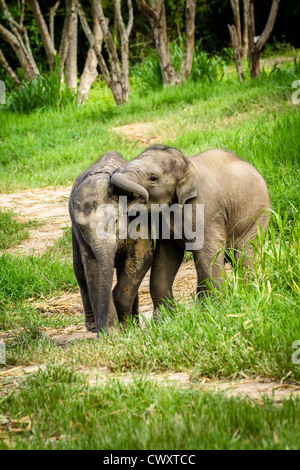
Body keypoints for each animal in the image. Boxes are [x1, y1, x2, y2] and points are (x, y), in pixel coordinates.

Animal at [69, 151, 154, 334]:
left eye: (115, 220)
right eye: (82, 228)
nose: (103, 334)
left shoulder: (139, 220)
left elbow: (142, 258)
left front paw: (124, 326)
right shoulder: (81, 236)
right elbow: (93, 270)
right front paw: (112, 333)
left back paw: (133, 323)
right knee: (79, 272)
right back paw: (93, 327)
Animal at [111, 145, 270, 310]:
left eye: (153, 178)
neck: (188, 166)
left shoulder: (206, 210)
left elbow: (208, 252)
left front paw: (212, 310)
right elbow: (166, 256)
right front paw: (167, 316)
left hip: (258, 218)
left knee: (243, 256)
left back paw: (250, 293)